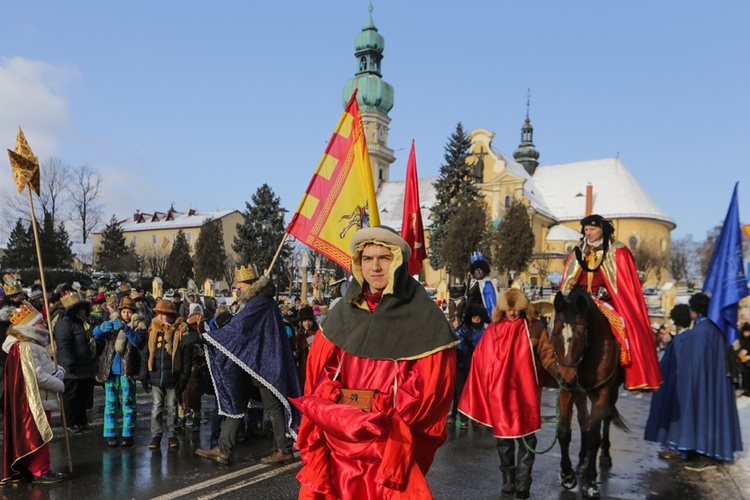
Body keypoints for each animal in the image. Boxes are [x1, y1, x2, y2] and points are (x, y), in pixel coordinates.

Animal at [552, 288, 628, 498]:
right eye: (554, 333)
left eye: (581, 334)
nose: (567, 377)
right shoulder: (568, 391)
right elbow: (564, 433)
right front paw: (567, 475)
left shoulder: (602, 392)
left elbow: (595, 437)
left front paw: (591, 484)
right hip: (580, 393)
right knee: (583, 420)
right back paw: (582, 461)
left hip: (611, 392)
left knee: (606, 419)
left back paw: (604, 456)